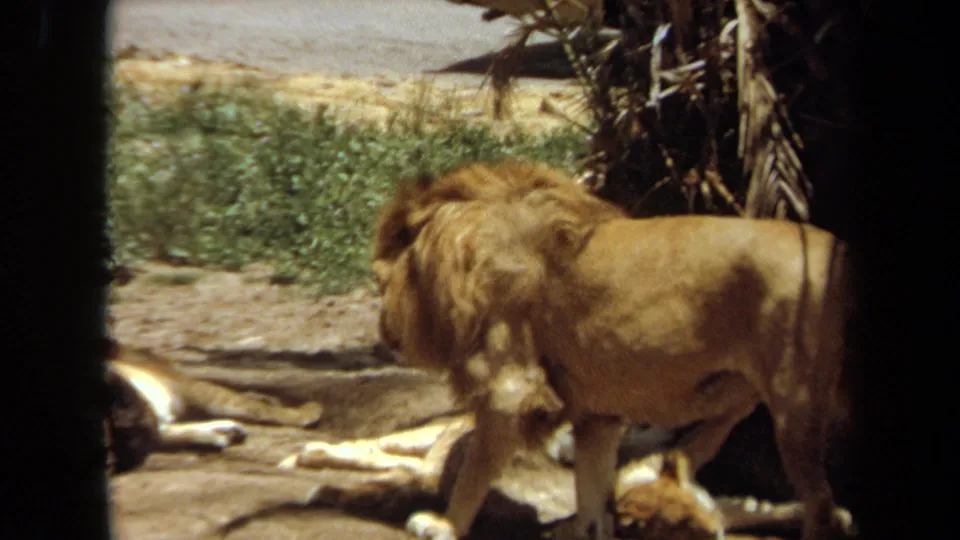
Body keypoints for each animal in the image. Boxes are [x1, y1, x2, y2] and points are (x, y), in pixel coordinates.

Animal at [371, 160, 859, 540]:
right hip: (747, 397)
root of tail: (843, 253)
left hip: (795, 404)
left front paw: (445, 525)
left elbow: (474, 472)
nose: (384, 330)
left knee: (820, 506)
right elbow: (591, 493)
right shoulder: (597, 417)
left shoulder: (509, 391)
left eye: (379, 281)